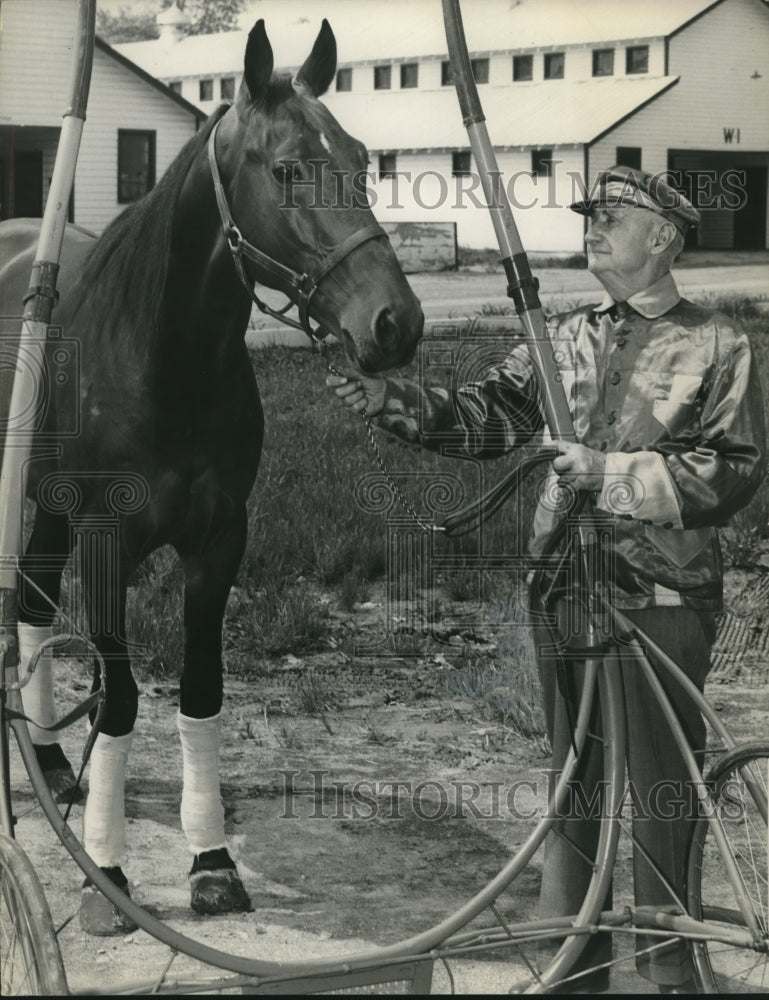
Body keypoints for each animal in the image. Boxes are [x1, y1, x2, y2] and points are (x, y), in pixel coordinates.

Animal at [0, 17, 420, 936]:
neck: (162, 355)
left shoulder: (220, 540)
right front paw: (106, 874)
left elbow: (199, 694)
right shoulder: (107, 541)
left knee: (33, 608)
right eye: (289, 168)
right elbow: (121, 699)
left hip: (44, 509)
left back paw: (50, 764)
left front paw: (212, 860)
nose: (396, 323)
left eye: (363, 160)